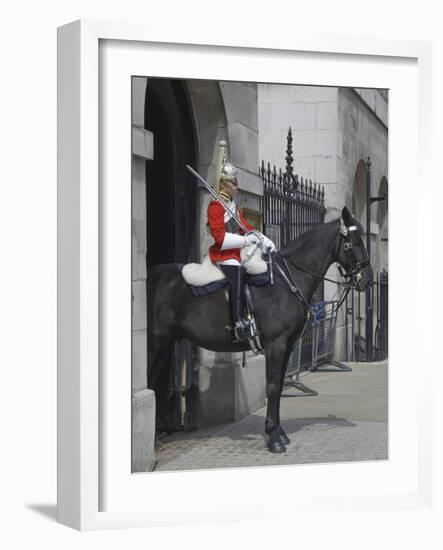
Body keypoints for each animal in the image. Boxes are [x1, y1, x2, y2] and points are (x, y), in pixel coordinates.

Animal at [147, 207, 372, 452]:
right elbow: (272, 386)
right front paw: (274, 438)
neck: (286, 281)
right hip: (154, 343)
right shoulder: (276, 344)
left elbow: (280, 385)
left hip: (165, 343)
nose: (368, 281)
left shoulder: (288, 346)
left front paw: (279, 432)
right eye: (355, 240)